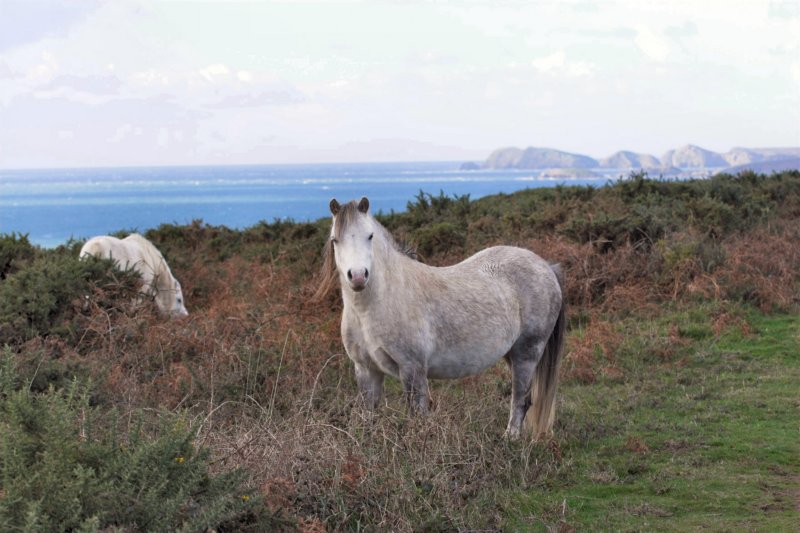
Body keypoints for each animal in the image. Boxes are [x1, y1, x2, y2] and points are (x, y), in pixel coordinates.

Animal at [316, 197, 564, 438]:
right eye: (335, 240)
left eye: (370, 236)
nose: (358, 276)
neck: (373, 308)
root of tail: (546, 266)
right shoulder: (366, 369)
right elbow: (368, 415)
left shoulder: (412, 369)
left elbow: (417, 416)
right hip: (512, 354)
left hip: (527, 353)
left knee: (520, 400)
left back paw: (510, 439)